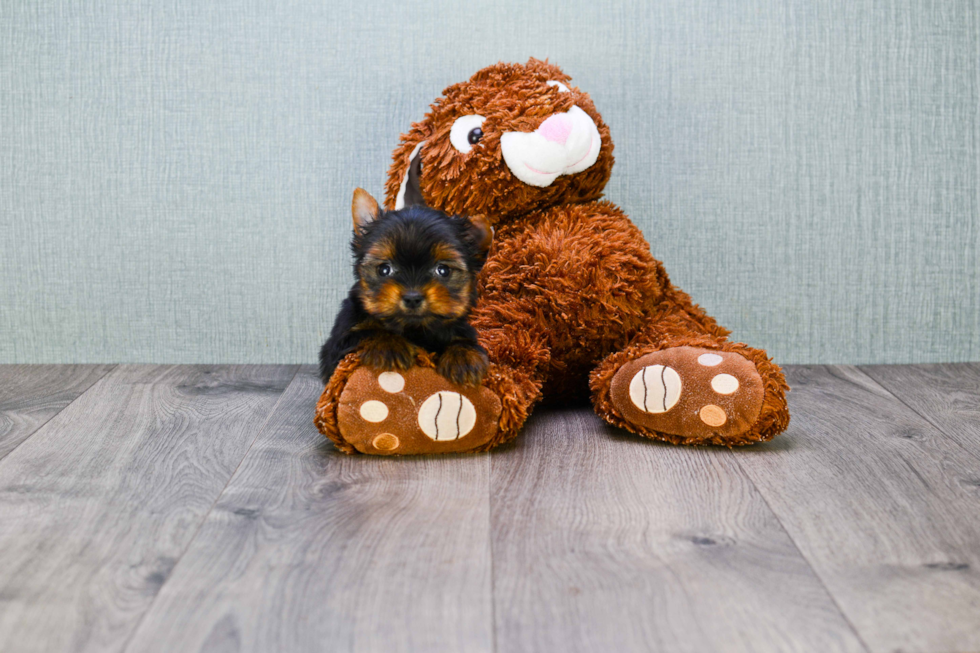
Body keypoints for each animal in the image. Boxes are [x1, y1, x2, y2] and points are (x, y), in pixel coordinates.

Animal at [320, 186, 494, 388]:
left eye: (443, 270)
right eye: (384, 269)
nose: (412, 297)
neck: (414, 329)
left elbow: (462, 338)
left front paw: (463, 356)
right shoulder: (337, 344)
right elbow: (368, 332)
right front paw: (389, 344)